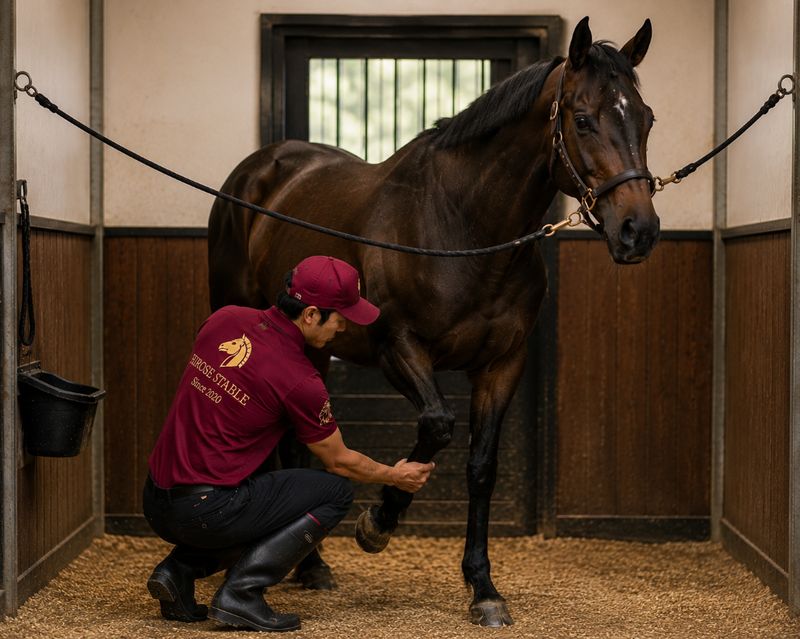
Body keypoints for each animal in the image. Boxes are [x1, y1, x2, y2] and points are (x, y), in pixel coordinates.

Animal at [207, 16, 660, 627]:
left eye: (647, 117)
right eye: (584, 119)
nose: (639, 231)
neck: (462, 228)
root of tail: (258, 172)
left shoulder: (502, 364)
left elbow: (481, 467)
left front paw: (484, 589)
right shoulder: (398, 347)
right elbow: (438, 424)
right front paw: (377, 523)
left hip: (314, 348)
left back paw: (313, 567)